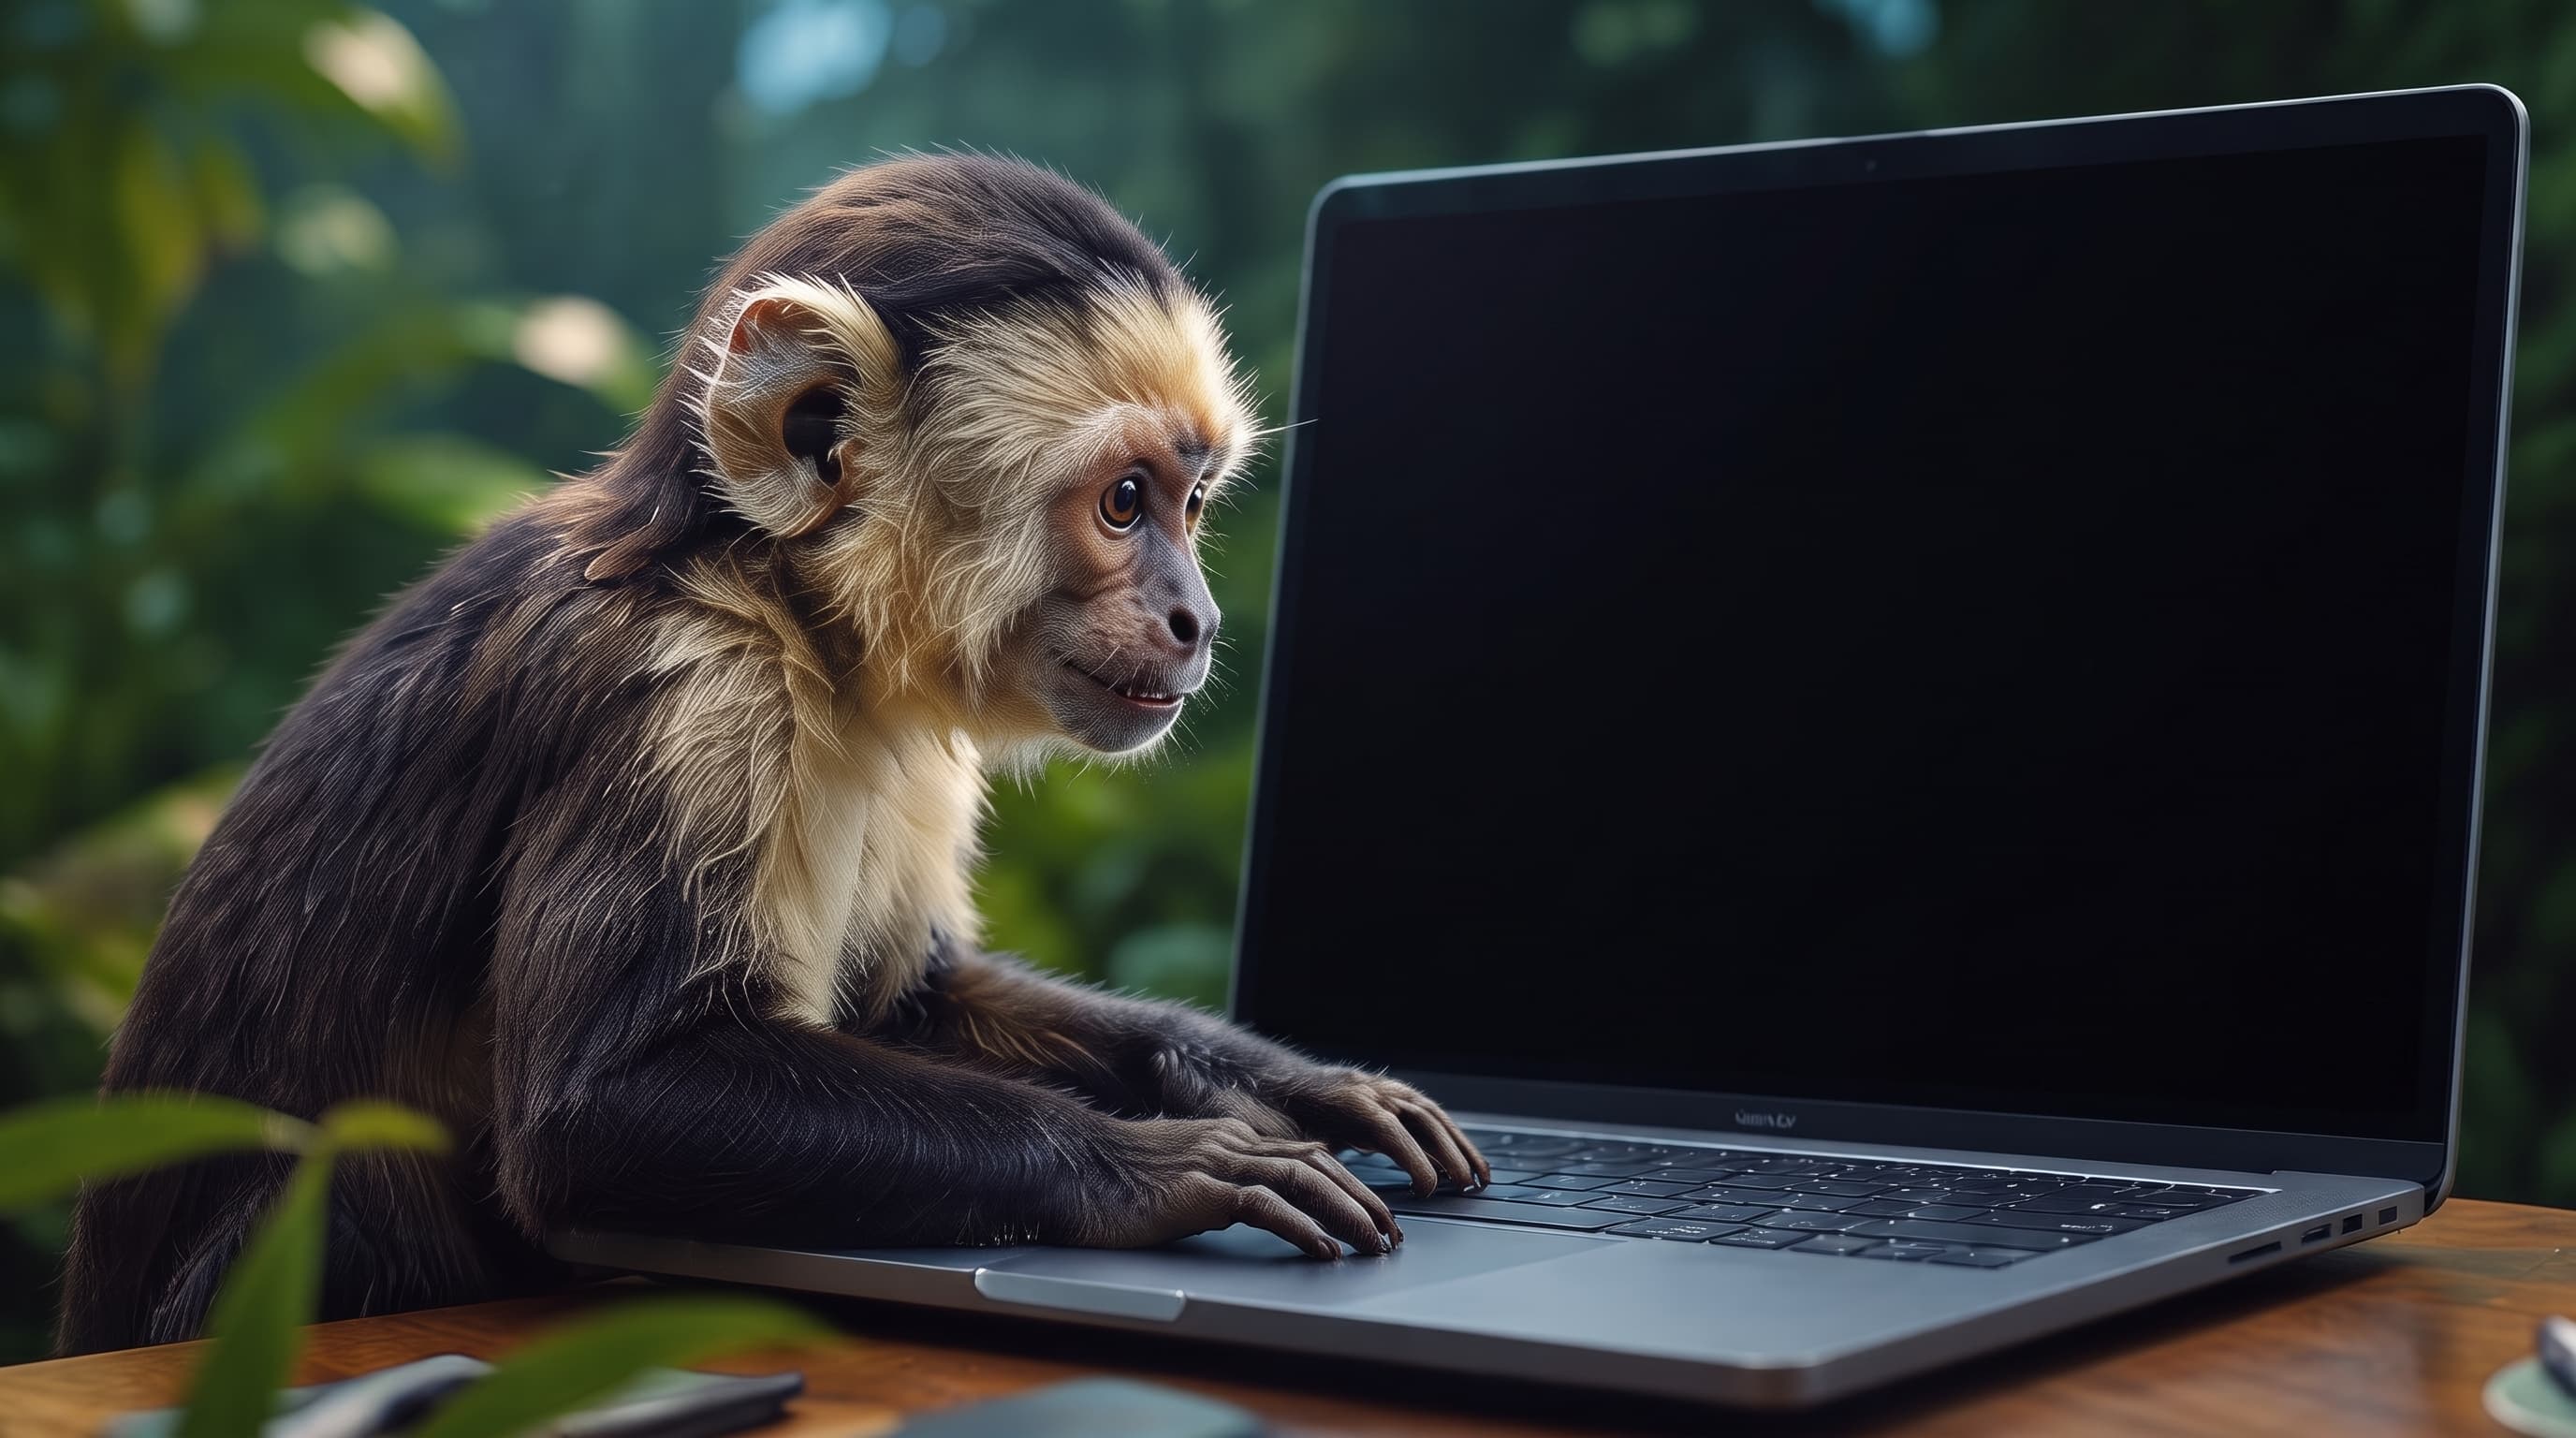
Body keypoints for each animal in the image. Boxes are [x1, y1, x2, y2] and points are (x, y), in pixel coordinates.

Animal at [57, 154, 1488, 1355]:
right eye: (1126, 504)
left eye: (1191, 505)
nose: (1198, 619)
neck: (792, 607)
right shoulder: (689, 691)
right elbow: (593, 1112)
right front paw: (1144, 1168)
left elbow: (916, 999)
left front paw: (1265, 1080)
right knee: (350, 1189)